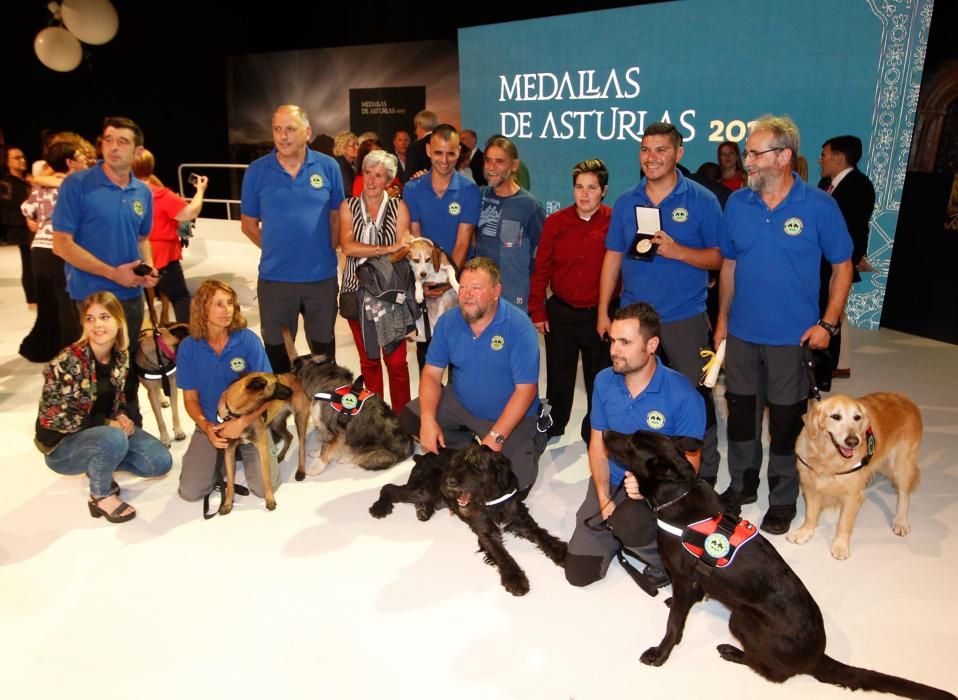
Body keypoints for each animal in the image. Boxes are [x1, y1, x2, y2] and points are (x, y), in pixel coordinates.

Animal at [372, 448, 568, 596]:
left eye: (476, 466)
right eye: (455, 464)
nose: (450, 482)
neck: (492, 500)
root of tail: (423, 456)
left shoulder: (522, 519)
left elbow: (541, 534)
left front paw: (560, 552)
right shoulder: (487, 534)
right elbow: (502, 555)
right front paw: (514, 578)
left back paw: (423, 511)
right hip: (423, 490)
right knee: (388, 487)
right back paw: (379, 507)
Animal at [608, 426, 958, 700]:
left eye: (631, 442)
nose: (605, 431)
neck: (676, 494)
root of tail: (817, 657)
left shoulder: (682, 577)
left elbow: (674, 625)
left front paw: (661, 653)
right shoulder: (690, 580)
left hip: (741, 619)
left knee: (772, 672)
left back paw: (734, 652)